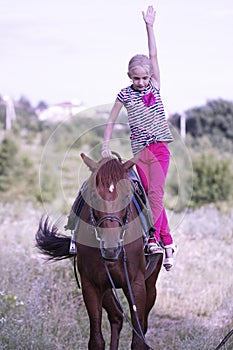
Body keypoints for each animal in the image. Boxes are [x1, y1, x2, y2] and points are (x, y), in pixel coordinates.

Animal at [35, 153, 163, 350]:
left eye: (127, 195)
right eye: (94, 195)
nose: (110, 246)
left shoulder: (136, 285)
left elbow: (138, 339)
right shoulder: (91, 285)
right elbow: (96, 340)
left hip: (150, 285)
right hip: (107, 288)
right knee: (117, 316)